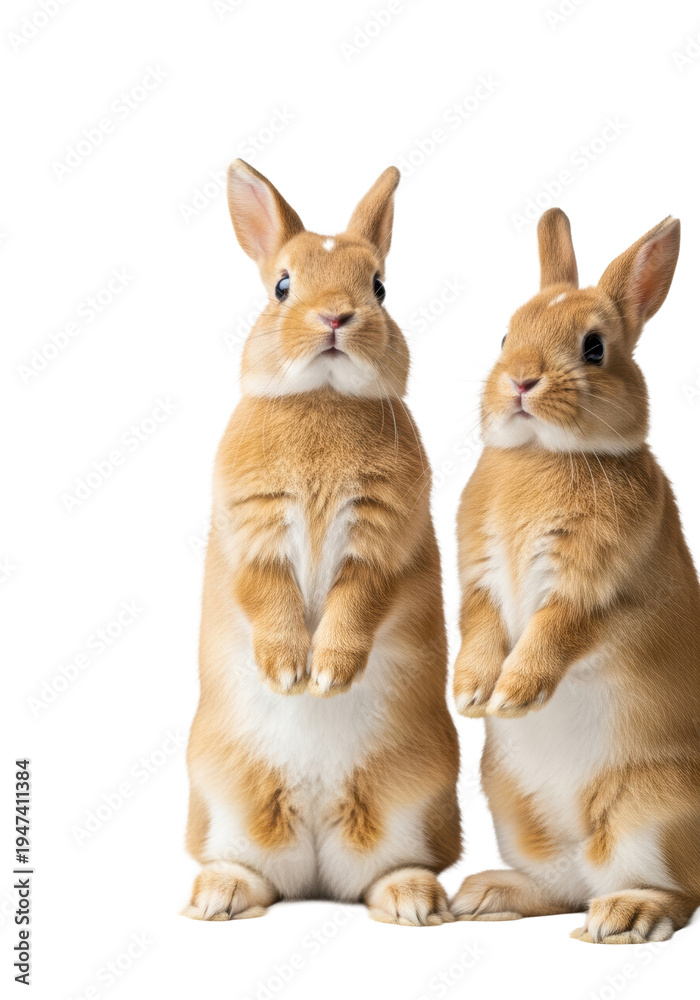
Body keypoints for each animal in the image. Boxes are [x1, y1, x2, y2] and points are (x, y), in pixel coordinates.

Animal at [183, 160, 461, 925]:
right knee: (254, 869)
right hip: (225, 797)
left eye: (379, 286)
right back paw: (217, 899)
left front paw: (328, 674)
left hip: (409, 800)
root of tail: (313, 860)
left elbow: (359, 599)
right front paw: (288, 672)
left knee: (384, 869)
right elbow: (266, 593)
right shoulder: (249, 536)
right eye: (282, 285)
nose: (335, 317)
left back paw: (415, 903)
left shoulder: (384, 541)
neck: (324, 397)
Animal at [450, 208, 700, 943]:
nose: (521, 382)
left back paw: (626, 915)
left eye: (594, 348)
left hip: (649, 811)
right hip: (514, 809)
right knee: (559, 889)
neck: (543, 454)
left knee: (671, 890)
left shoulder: (594, 592)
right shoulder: (478, 581)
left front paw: (514, 694)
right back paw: (485, 896)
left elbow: (557, 631)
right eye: (506, 333)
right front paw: (472, 694)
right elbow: (480, 626)